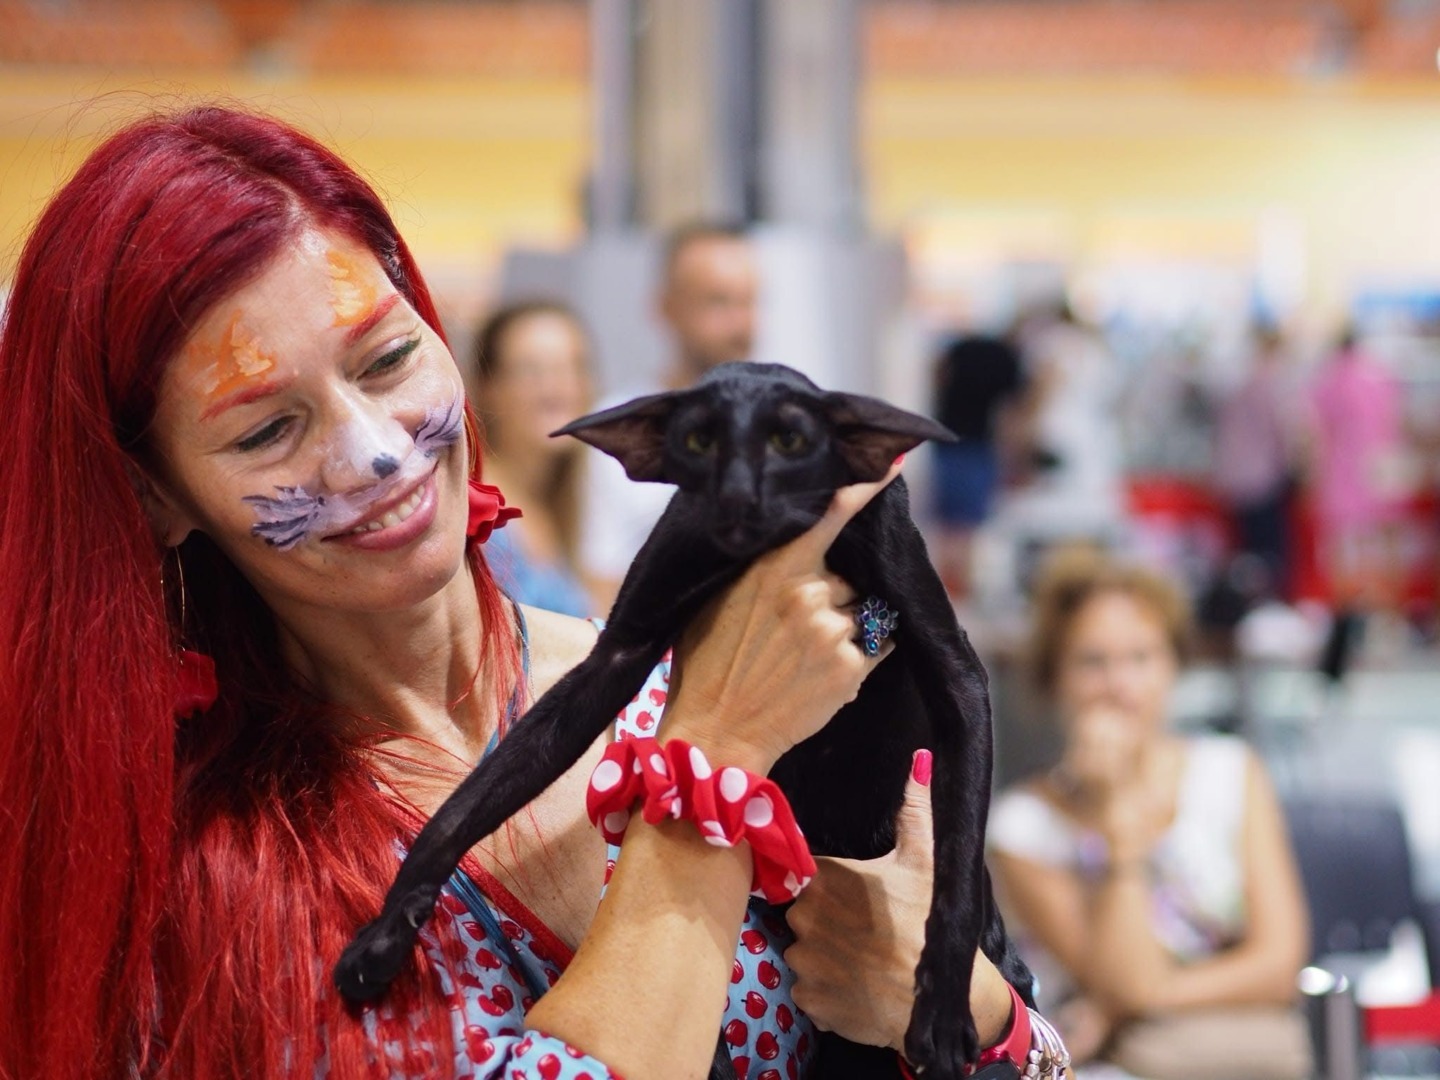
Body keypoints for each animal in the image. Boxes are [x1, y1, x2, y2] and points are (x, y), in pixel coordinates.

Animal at [335, 362, 1034, 1079]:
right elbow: (464, 806)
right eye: (699, 442)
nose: (736, 499)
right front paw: (385, 935)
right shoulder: (616, 652)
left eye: (788, 440)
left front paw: (944, 1011)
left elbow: (953, 875)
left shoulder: (956, 668)